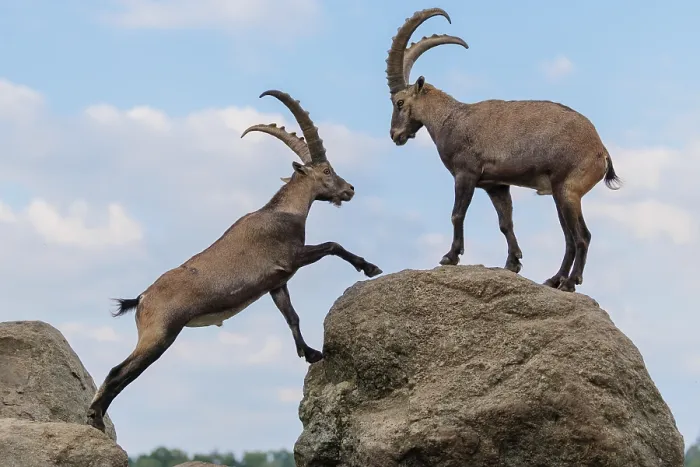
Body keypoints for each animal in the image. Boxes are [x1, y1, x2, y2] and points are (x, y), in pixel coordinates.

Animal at [86, 90, 383, 433]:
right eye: (327, 171)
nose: (350, 189)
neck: (284, 213)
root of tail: (142, 298)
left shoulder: (277, 282)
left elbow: (291, 316)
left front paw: (309, 353)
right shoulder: (292, 257)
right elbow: (333, 245)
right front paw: (369, 267)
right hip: (159, 334)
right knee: (117, 373)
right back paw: (95, 419)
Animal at [385, 8, 621, 292]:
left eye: (399, 102)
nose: (395, 135)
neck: (450, 119)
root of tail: (601, 151)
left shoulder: (466, 174)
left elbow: (457, 214)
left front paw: (450, 256)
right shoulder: (495, 185)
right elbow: (505, 223)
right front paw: (513, 262)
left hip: (568, 190)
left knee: (582, 236)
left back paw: (569, 282)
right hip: (560, 193)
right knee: (568, 238)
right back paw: (555, 279)